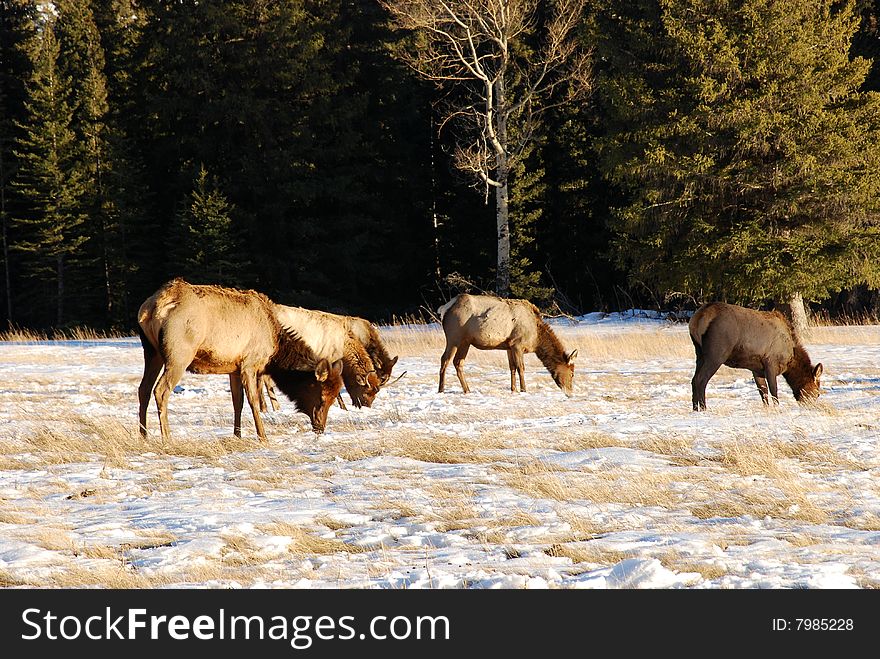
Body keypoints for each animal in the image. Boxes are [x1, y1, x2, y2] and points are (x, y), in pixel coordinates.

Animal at [138, 278, 344, 444]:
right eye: (322, 397)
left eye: (335, 397)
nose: (320, 427)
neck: (275, 347)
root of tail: (152, 307)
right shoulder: (249, 363)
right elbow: (254, 401)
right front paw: (263, 437)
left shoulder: (233, 368)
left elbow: (238, 401)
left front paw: (238, 435)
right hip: (179, 354)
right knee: (160, 390)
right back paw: (167, 438)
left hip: (152, 352)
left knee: (144, 389)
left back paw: (144, 435)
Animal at [438, 296, 576, 398]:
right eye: (572, 373)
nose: (570, 393)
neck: (536, 339)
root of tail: (445, 308)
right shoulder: (518, 344)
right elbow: (521, 368)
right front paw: (523, 390)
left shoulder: (509, 346)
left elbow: (512, 368)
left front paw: (513, 389)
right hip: (454, 337)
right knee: (445, 359)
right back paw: (441, 390)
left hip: (465, 342)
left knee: (458, 362)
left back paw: (467, 390)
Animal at [688, 302, 824, 410]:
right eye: (817, 393)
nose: (812, 407)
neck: (790, 358)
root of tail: (698, 318)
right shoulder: (771, 362)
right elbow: (773, 390)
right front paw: (777, 408)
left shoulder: (757, 369)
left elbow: (763, 391)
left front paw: (767, 408)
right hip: (717, 353)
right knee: (701, 379)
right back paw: (704, 408)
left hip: (699, 352)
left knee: (694, 379)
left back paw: (695, 408)